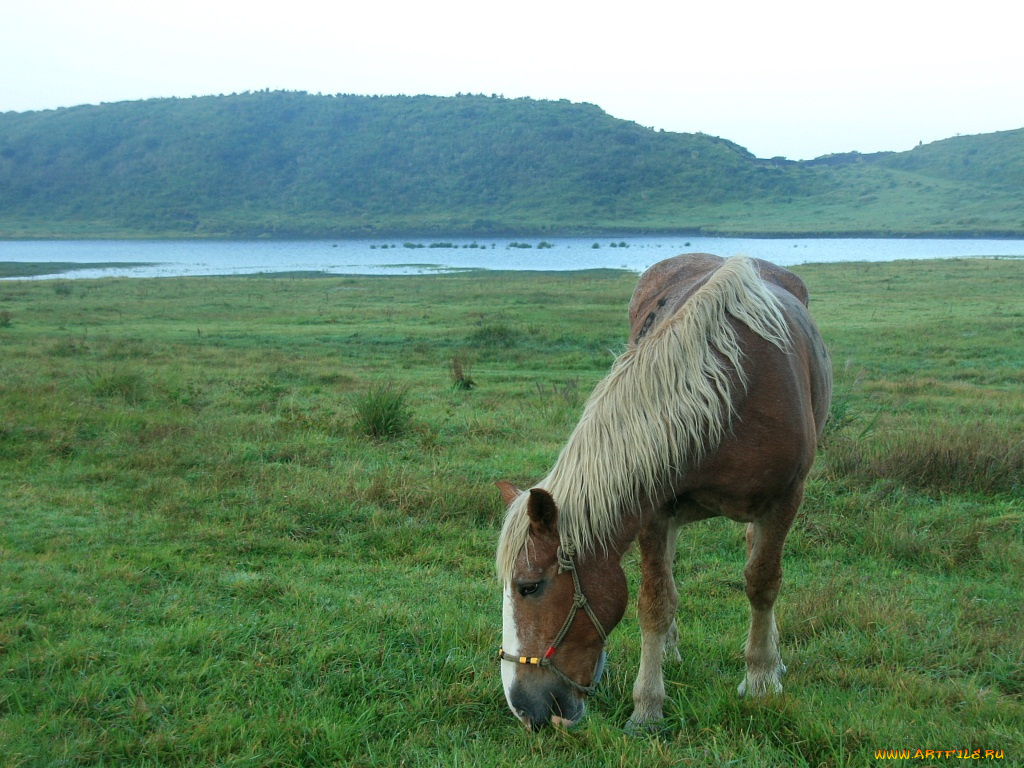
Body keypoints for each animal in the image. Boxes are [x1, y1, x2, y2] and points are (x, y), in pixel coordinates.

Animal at [493, 253, 831, 733]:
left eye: (529, 587)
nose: (523, 707)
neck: (731, 390)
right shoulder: (653, 509)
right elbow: (654, 602)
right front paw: (648, 706)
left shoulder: (785, 500)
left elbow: (763, 584)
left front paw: (762, 678)